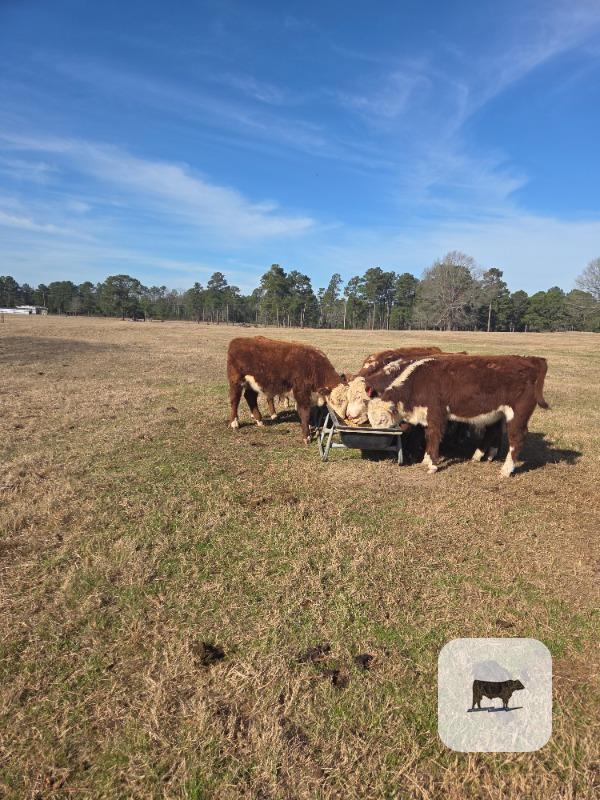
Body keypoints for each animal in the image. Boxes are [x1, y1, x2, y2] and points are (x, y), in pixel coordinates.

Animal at [365, 354, 549, 476]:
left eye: (382, 419)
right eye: (371, 420)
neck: (418, 382)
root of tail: (532, 360)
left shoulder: (437, 414)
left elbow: (433, 437)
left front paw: (432, 465)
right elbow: (428, 436)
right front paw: (426, 460)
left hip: (517, 415)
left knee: (516, 438)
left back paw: (506, 470)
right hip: (497, 413)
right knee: (493, 432)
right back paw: (479, 456)